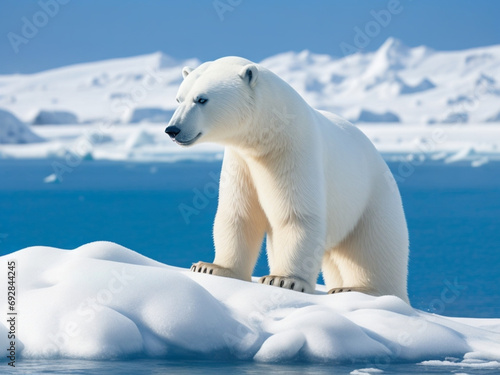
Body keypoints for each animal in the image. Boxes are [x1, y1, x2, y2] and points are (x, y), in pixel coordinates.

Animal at [166, 56, 408, 302]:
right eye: (179, 98)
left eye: (201, 99)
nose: (172, 129)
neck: (268, 132)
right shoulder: (241, 162)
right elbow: (239, 213)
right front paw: (211, 267)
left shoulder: (293, 152)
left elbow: (296, 215)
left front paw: (284, 280)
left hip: (371, 199)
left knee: (374, 247)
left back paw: (359, 289)